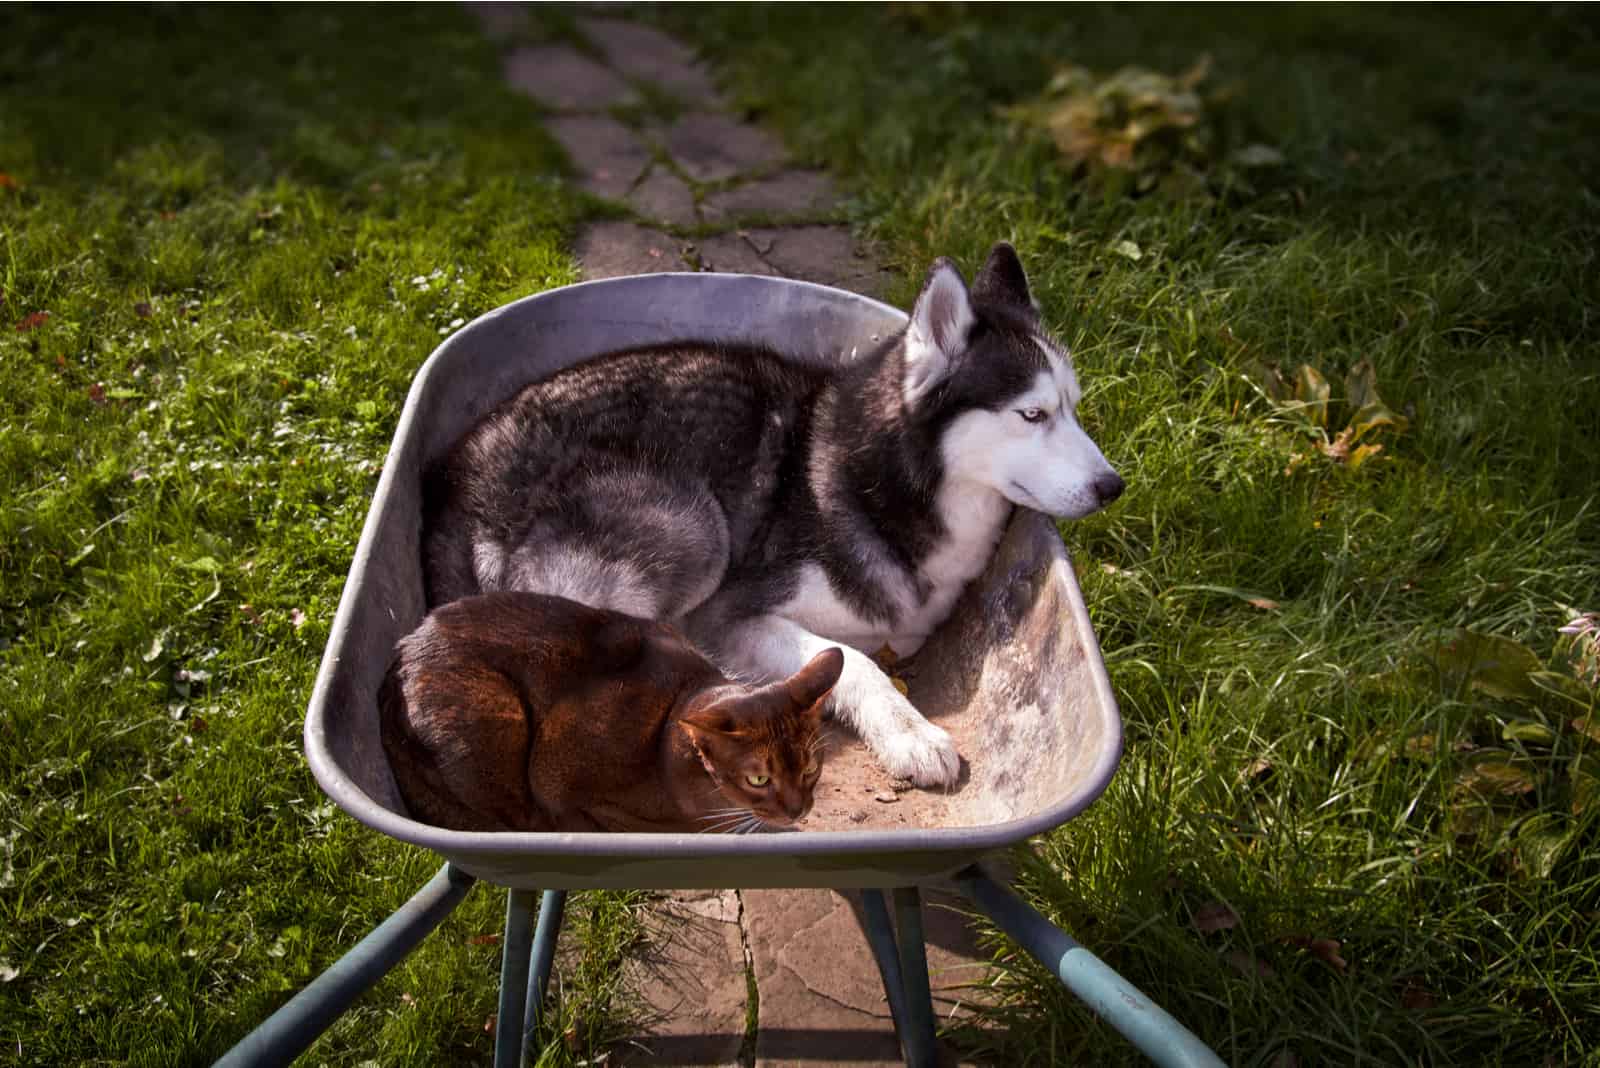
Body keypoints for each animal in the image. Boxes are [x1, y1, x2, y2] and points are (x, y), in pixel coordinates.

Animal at [425, 246, 1126, 789]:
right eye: (1032, 414)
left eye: (1074, 406)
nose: (1113, 486)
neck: (878, 485)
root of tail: (462, 478)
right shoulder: (728, 614)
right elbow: (853, 659)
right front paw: (911, 734)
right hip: (692, 524)